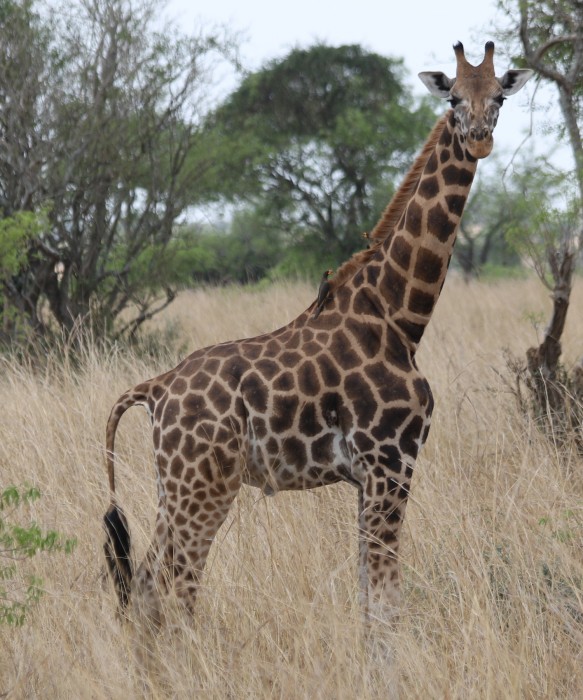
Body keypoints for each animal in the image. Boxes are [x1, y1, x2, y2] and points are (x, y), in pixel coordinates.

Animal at [104, 41, 532, 628]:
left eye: (499, 98)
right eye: (453, 99)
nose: (479, 138)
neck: (399, 315)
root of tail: (157, 388)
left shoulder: (372, 476)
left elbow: (369, 596)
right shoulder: (390, 464)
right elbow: (385, 600)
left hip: (176, 485)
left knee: (149, 585)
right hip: (202, 484)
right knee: (177, 585)